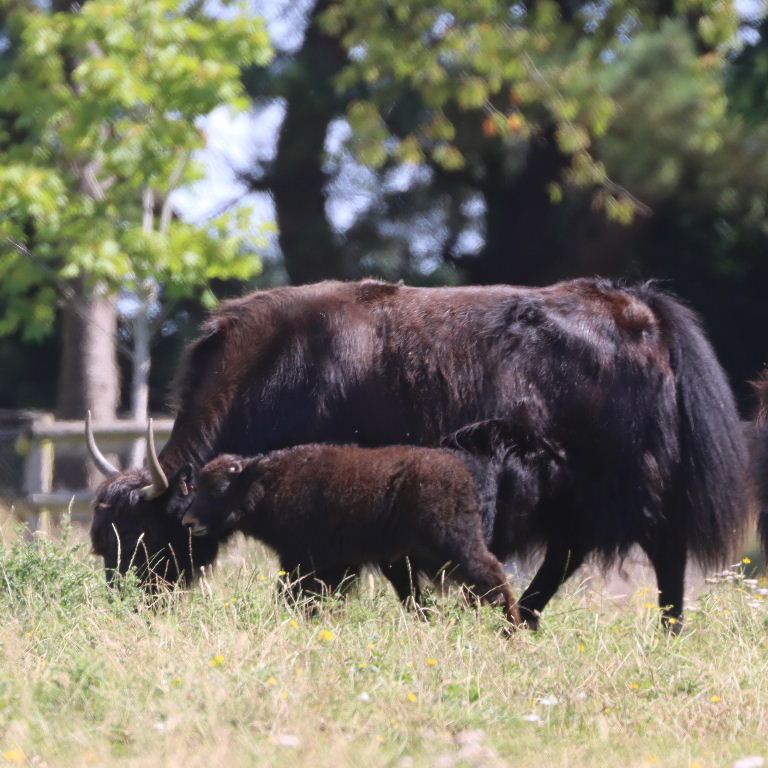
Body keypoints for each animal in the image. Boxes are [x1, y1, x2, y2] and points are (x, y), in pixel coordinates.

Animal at [87, 277, 749, 630]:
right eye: (102, 543)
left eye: (147, 536)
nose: (129, 608)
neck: (281, 365)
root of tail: (640, 309)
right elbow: (399, 575)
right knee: (568, 553)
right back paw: (525, 620)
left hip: (631, 485)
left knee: (661, 550)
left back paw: (666, 633)